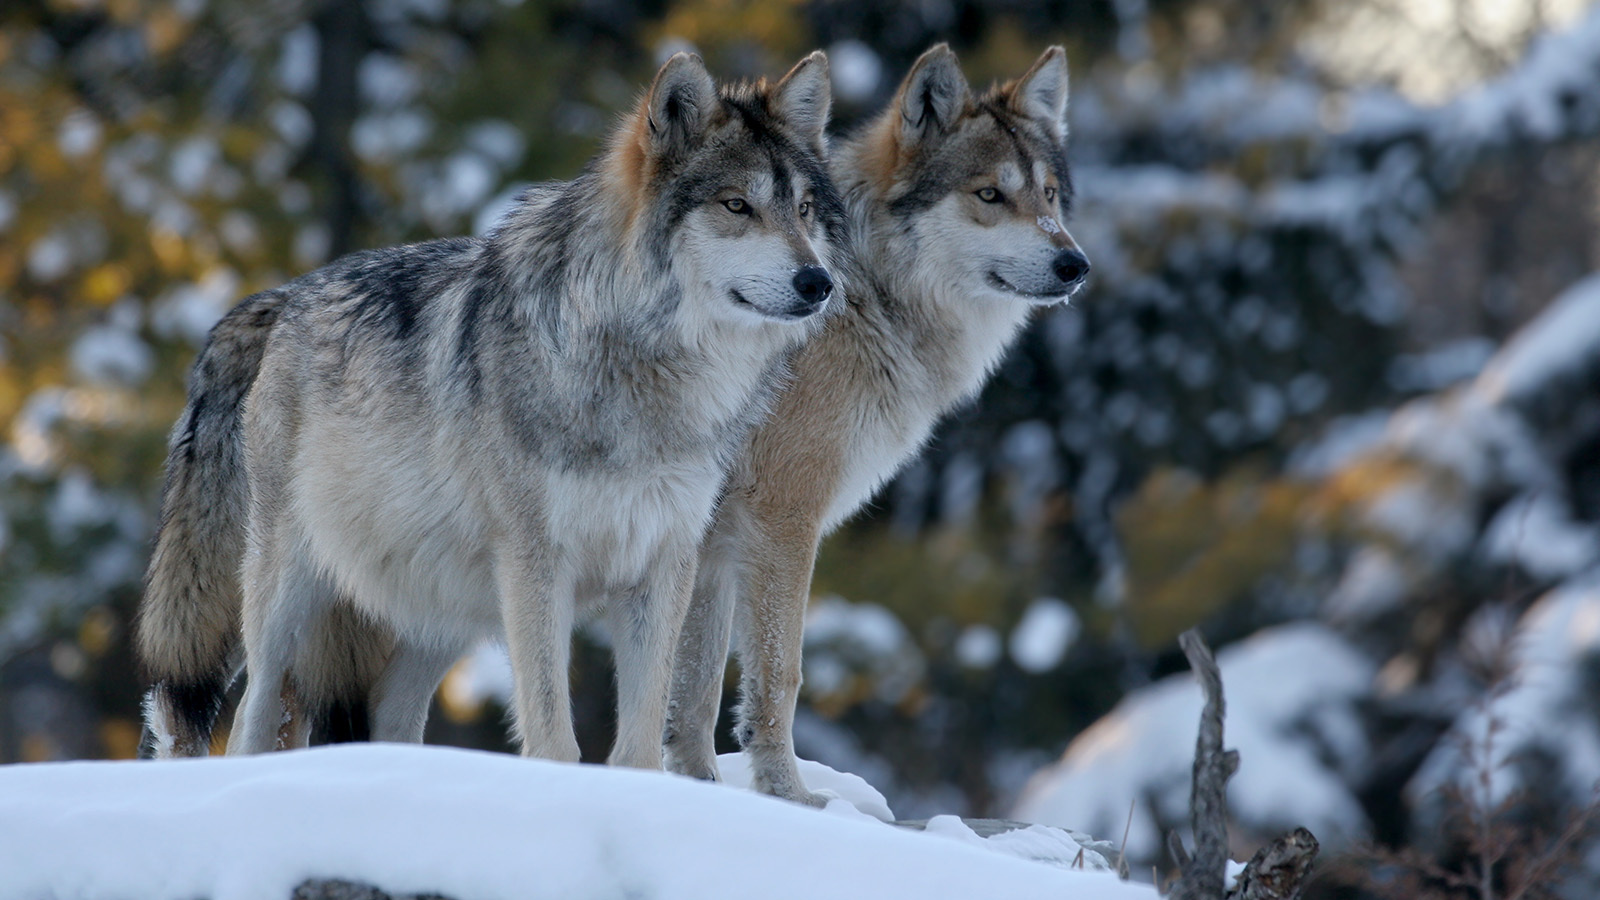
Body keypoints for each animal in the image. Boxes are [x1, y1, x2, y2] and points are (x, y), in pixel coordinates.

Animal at [136, 51, 845, 767]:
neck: (646, 373)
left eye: (804, 209)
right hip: (291, 591)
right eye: (737, 205)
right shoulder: (537, 566)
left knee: (389, 717)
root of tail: (283, 297)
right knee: (252, 716)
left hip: (441, 613)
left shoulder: (663, 566)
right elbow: (555, 738)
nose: (819, 282)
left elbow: (640, 745)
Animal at [661, 45, 1090, 803]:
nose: (1076, 264)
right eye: (989, 195)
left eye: (1048, 196)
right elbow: (780, 675)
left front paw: (701, 791)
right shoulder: (782, 517)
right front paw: (791, 798)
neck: (869, 297)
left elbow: (693, 693)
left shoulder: (712, 540)